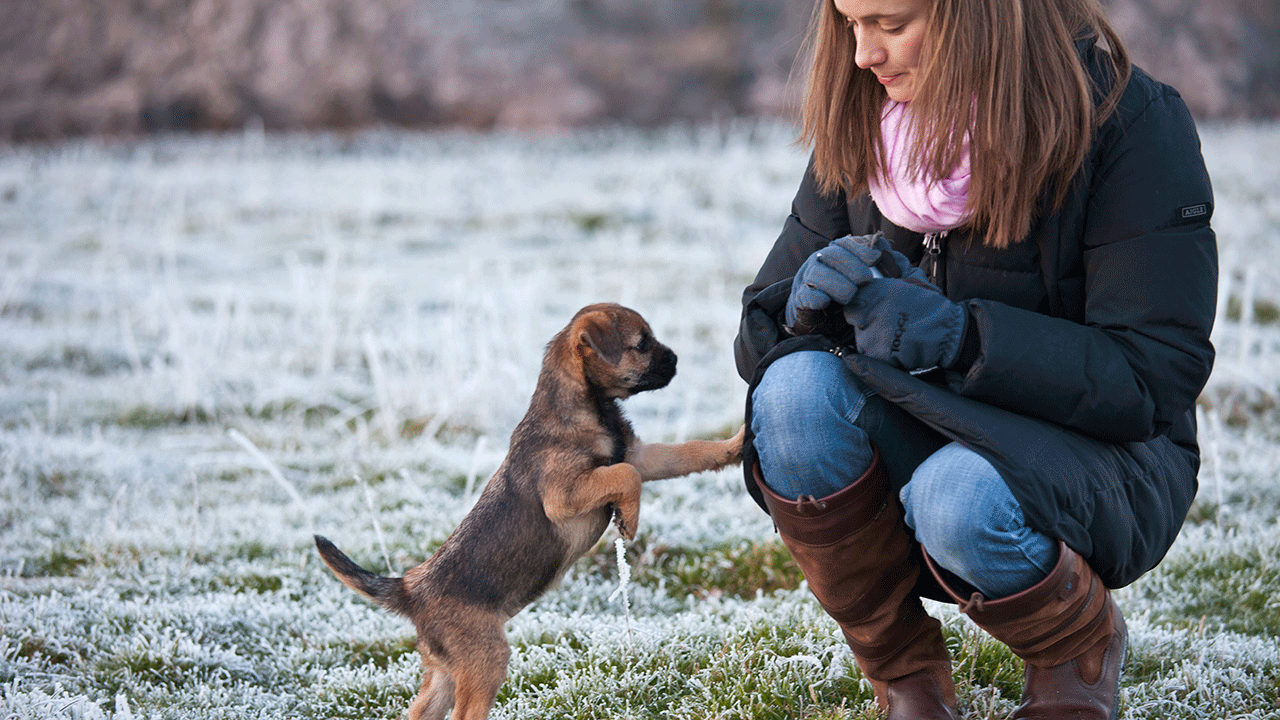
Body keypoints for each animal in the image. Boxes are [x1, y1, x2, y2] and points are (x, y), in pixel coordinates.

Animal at [313, 302, 747, 717]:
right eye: (641, 344)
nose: (675, 359)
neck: (587, 406)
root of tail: (410, 588)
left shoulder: (642, 456)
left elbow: (690, 451)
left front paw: (736, 444)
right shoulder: (565, 494)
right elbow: (624, 477)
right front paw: (629, 519)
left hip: (444, 670)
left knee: (421, 710)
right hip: (484, 659)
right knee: (464, 713)